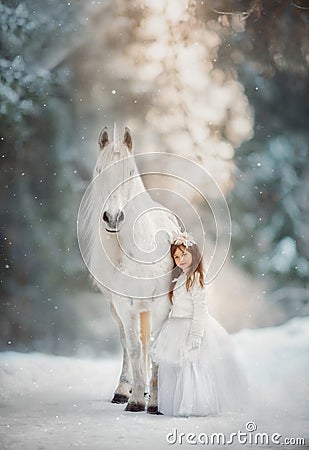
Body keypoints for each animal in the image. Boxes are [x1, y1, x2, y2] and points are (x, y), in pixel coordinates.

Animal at [77, 125, 180, 414]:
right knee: (129, 342)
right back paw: (126, 390)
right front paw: (135, 401)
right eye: (100, 170)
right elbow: (134, 347)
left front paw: (155, 403)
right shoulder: (124, 305)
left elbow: (154, 348)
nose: (113, 218)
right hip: (122, 308)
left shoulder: (160, 304)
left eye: (131, 172)